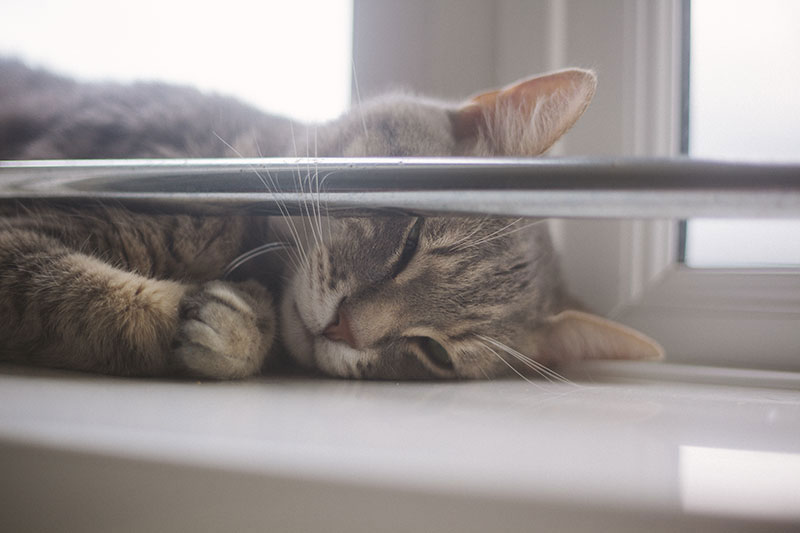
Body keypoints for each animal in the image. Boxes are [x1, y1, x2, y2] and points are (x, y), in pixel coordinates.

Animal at [0, 59, 664, 378]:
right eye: (410, 239)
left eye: (433, 353)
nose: (344, 329)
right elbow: (91, 301)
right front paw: (210, 319)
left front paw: (239, 331)